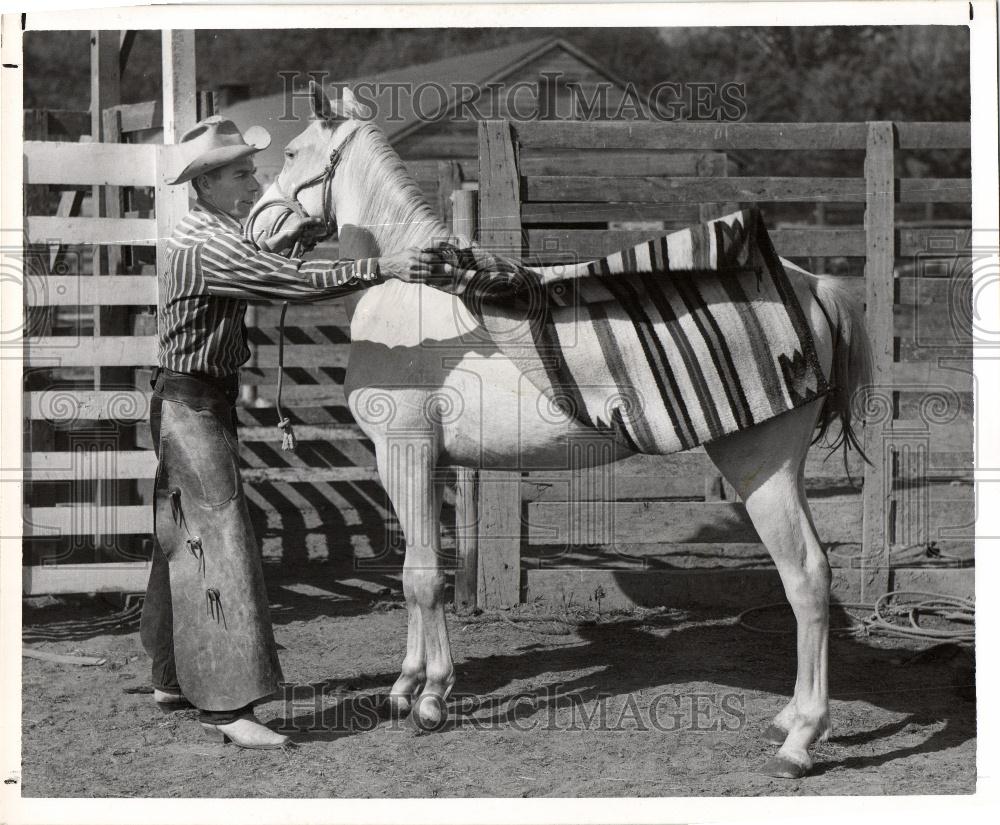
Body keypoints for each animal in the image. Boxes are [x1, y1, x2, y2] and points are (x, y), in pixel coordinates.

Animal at [246, 82, 872, 779]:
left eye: (293, 151)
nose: (256, 225)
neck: (408, 296)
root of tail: (812, 284)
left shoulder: (402, 453)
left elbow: (421, 578)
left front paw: (431, 699)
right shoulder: (425, 463)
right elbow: (417, 569)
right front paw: (406, 686)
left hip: (759, 466)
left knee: (806, 576)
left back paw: (800, 740)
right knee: (813, 575)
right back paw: (787, 721)